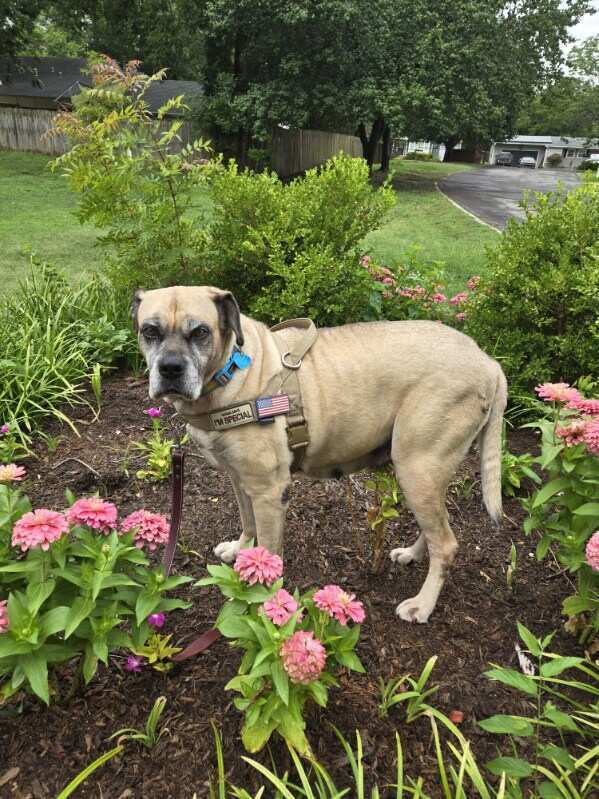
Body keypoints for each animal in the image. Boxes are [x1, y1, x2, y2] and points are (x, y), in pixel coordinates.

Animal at [132, 288, 506, 624]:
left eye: (200, 332)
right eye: (149, 331)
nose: (170, 368)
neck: (229, 371)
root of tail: (487, 362)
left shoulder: (269, 492)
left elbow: (269, 549)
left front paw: (266, 601)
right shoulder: (239, 479)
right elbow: (247, 520)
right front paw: (241, 549)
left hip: (417, 467)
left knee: (446, 543)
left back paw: (422, 605)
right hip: (423, 472)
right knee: (436, 528)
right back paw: (412, 554)